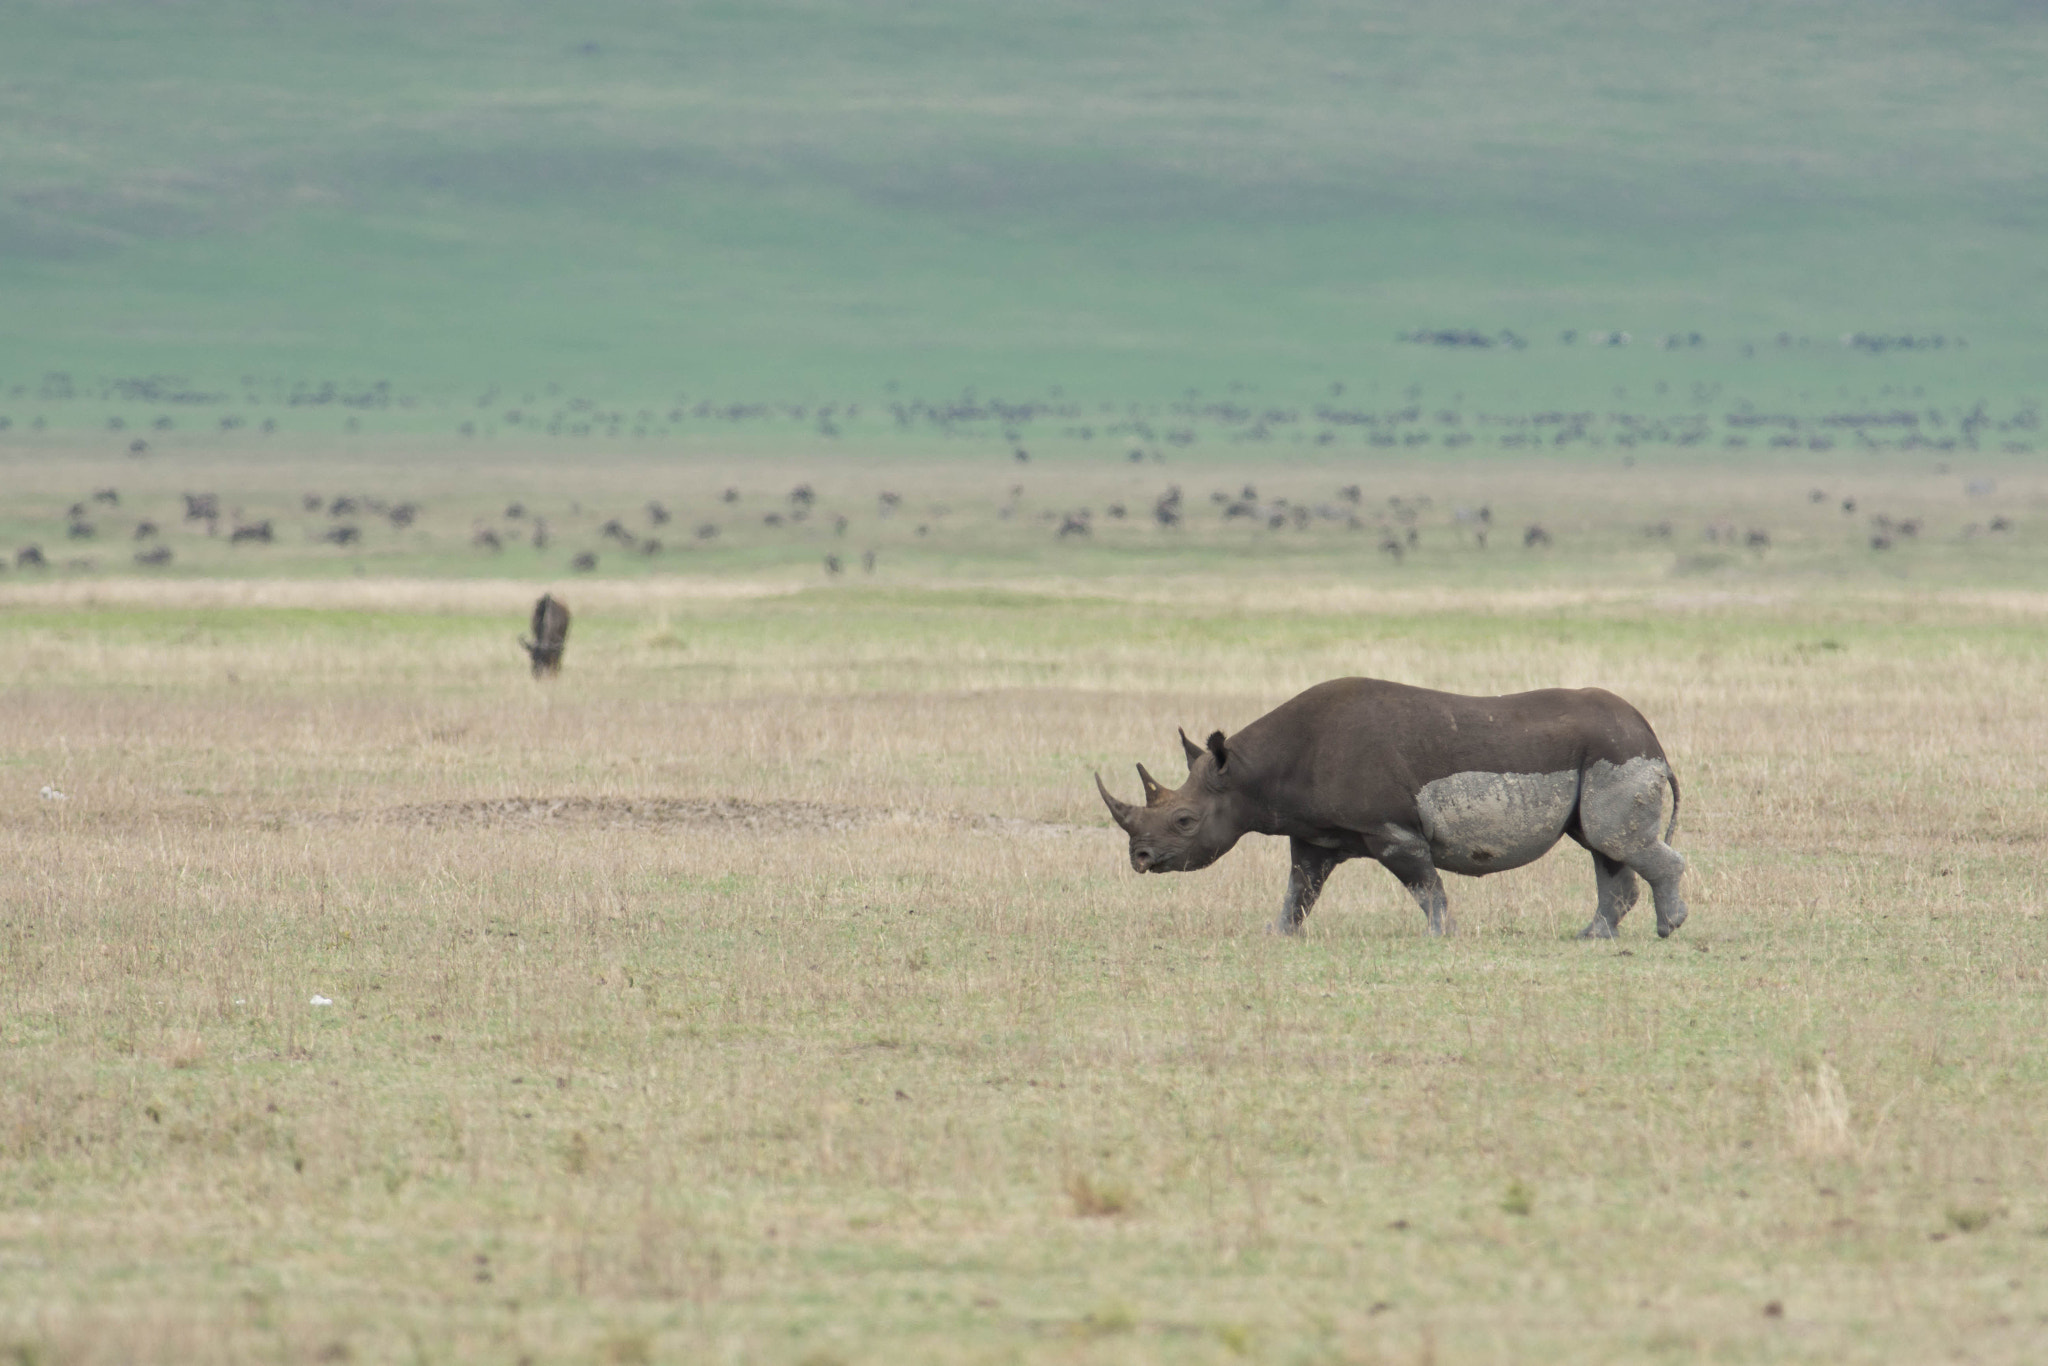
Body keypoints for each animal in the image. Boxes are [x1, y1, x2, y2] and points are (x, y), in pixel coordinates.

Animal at [1095, 678, 1687, 939]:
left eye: (1184, 822)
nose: (1140, 859)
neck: (1245, 773)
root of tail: (1654, 738)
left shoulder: (1390, 829)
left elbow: (1425, 886)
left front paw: (1439, 936)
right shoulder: (1314, 834)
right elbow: (1300, 888)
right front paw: (1277, 935)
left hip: (1616, 752)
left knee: (1613, 840)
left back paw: (1668, 929)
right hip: (1605, 756)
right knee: (1602, 845)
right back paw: (1592, 937)